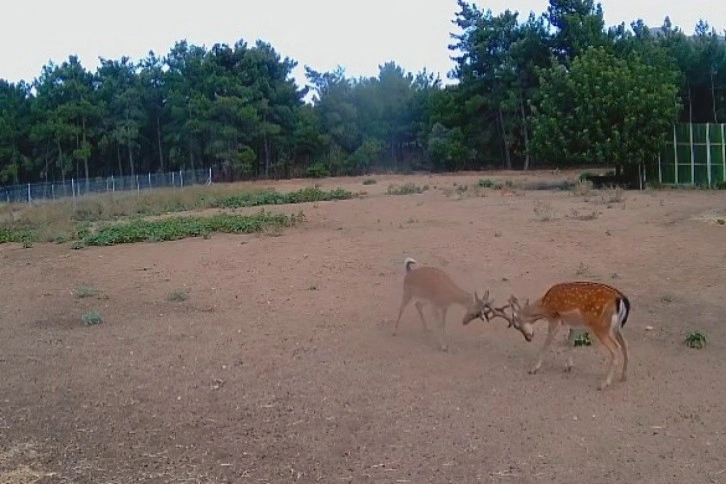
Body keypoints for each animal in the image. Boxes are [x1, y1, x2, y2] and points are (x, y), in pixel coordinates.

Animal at [486, 282, 636, 392]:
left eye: (516, 325)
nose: (528, 338)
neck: (544, 306)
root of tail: (621, 299)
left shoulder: (555, 319)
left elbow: (546, 343)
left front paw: (533, 369)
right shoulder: (574, 325)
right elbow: (570, 342)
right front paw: (568, 367)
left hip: (602, 327)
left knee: (616, 348)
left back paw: (603, 384)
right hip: (617, 328)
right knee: (626, 346)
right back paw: (623, 376)